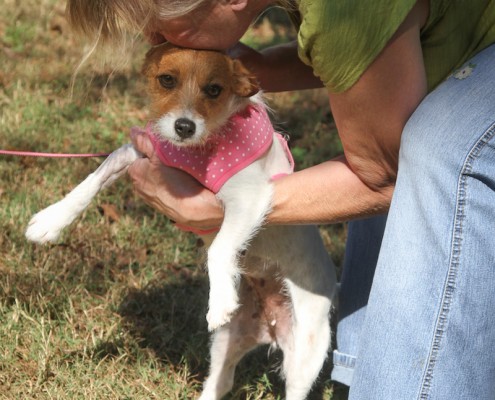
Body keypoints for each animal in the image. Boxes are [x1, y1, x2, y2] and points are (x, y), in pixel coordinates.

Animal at [26, 43, 338, 400]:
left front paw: (219, 300)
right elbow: (94, 177)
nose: (184, 127)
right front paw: (52, 219)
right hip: (228, 340)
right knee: (221, 381)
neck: (198, 149)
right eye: (167, 80)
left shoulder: (247, 197)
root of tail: (268, 328)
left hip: (305, 351)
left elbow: (219, 248)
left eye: (214, 89)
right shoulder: (140, 151)